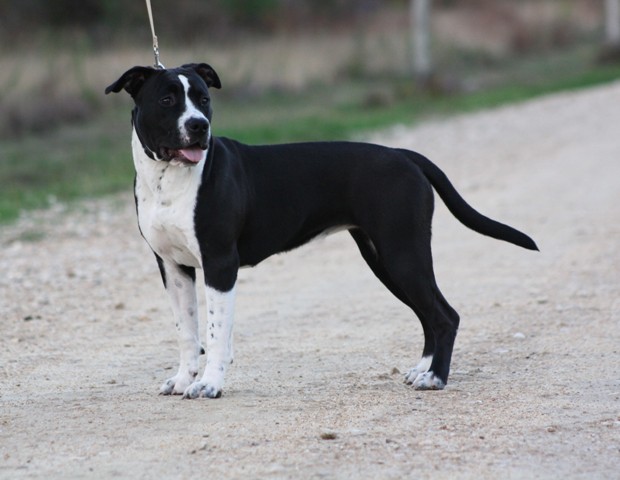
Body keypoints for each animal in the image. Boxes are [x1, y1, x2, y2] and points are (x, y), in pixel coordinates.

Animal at [105, 63, 537, 399]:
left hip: (403, 254)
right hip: (385, 260)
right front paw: (183, 380)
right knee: (429, 316)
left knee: (445, 316)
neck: (168, 179)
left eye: (204, 99)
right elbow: (187, 332)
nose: (199, 125)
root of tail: (405, 155)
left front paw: (209, 385)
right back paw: (422, 370)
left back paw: (434, 378)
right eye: (167, 101)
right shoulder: (173, 267)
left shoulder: (219, 263)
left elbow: (215, 333)